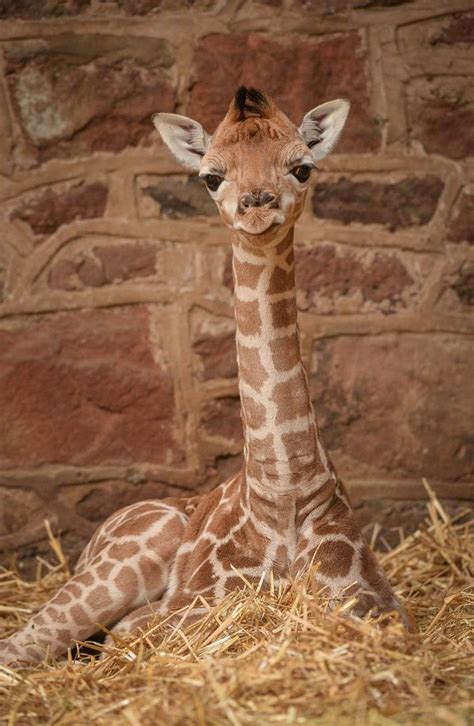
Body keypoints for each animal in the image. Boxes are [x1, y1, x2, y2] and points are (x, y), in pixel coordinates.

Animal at [0, 88, 410, 668]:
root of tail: (96, 538)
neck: (282, 495)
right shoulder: (178, 615)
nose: (257, 204)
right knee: (21, 645)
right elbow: (130, 635)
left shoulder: (375, 606)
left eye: (302, 167)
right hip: (122, 563)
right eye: (211, 177)